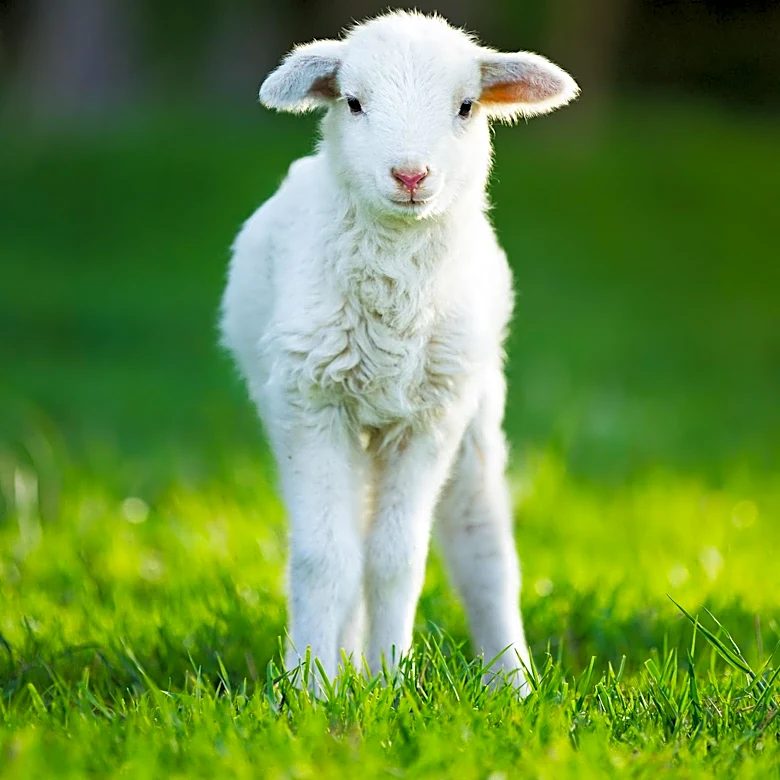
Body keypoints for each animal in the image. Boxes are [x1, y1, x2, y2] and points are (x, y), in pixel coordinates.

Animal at [219, 10, 578, 692]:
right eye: (354, 102)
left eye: (466, 106)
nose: (411, 176)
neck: (395, 307)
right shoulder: (311, 406)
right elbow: (324, 558)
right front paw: (311, 690)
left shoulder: (431, 419)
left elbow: (396, 560)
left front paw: (389, 684)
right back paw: (345, 667)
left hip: (474, 410)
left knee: (482, 545)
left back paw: (513, 684)